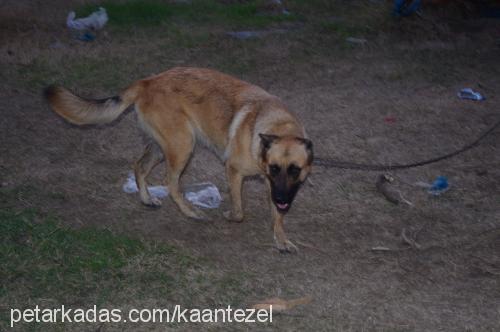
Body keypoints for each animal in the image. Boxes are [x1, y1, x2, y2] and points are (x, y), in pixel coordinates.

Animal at [46, 68, 312, 254]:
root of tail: (148, 81)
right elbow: (239, 211)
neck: (277, 125)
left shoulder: (273, 186)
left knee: (139, 166)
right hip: (183, 146)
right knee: (170, 183)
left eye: (295, 170)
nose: (282, 199)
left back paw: (147, 199)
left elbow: (277, 217)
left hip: (160, 147)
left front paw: (282, 240)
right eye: (275, 168)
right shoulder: (235, 171)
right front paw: (229, 215)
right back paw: (190, 212)